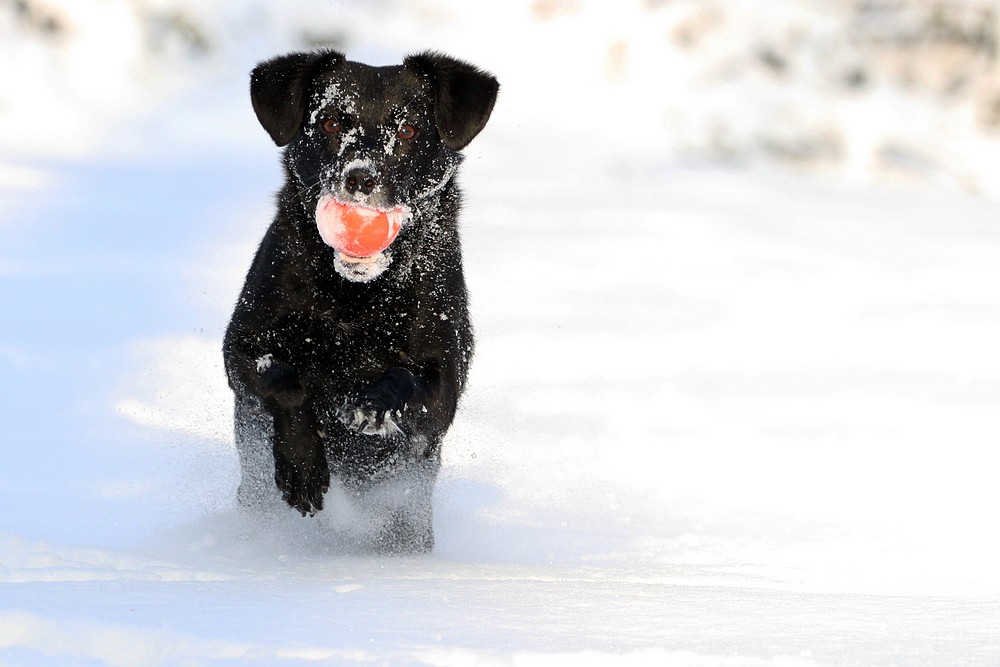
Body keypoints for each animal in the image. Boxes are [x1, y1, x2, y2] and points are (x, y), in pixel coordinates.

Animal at [222, 51, 496, 552]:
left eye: (408, 130)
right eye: (331, 121)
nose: (360, 178)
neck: (356, 293)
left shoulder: (443, 386)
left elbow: (406, 381)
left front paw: (372, 405)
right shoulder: (241, 348)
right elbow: (283, 382)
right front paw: (302, 469)